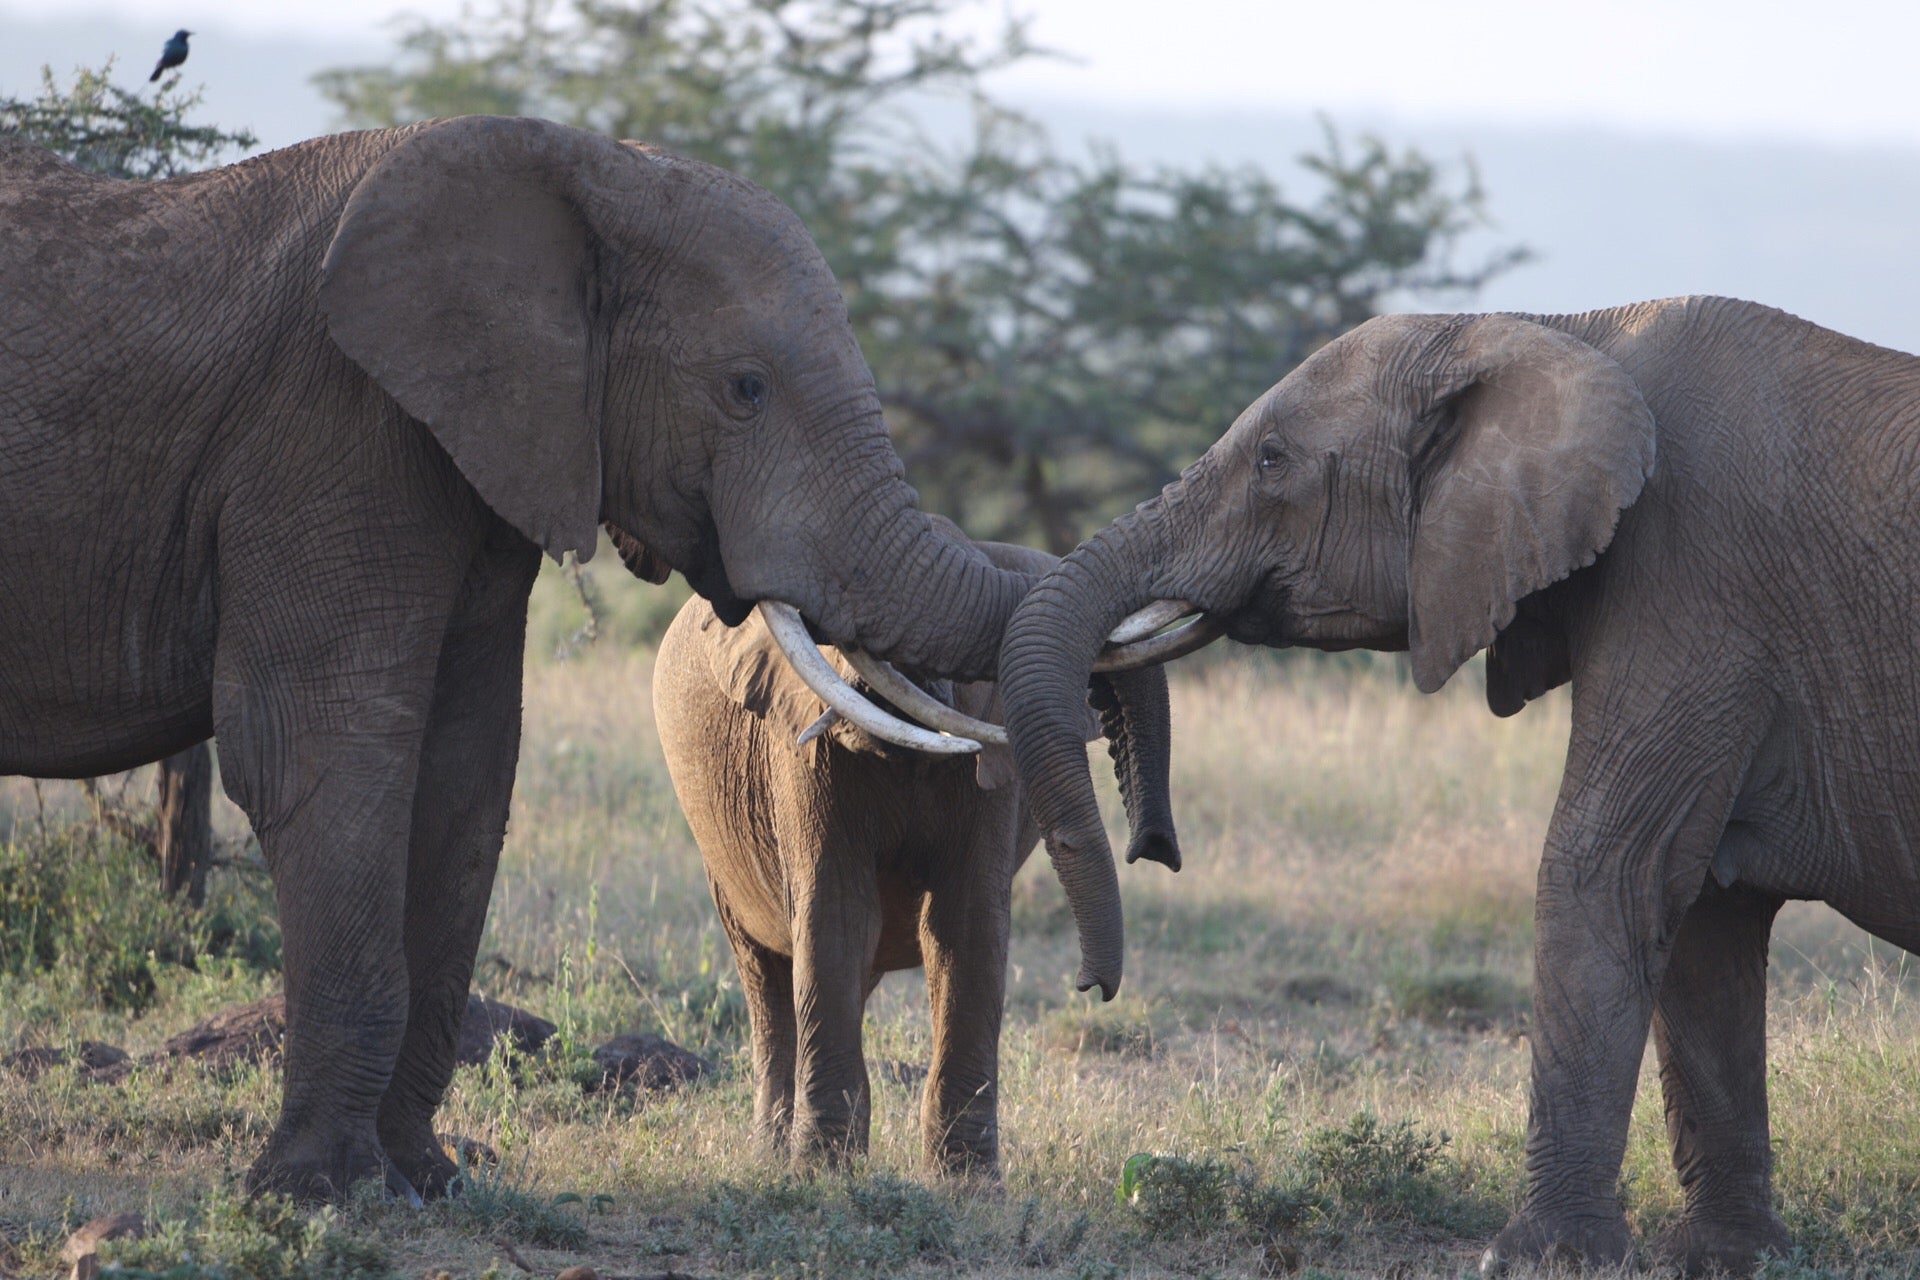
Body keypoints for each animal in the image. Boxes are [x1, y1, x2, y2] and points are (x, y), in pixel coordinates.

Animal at [653, 529, 1179, 1174]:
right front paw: (823, 1175)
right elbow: (836, 917)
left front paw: (965, 1184)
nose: (1153, 848)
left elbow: (965, 926)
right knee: (766, 976)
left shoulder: (993, 765)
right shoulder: (799, 747)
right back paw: (772, 1157)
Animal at [997, 296, 1920, 1275]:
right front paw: (1727, 1257)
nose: (1154, 852)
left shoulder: (1694, 590)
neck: (1554, 329)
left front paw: (1540, 1257)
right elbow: (1702, 909)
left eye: (1273, 460)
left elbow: (1605, 870)